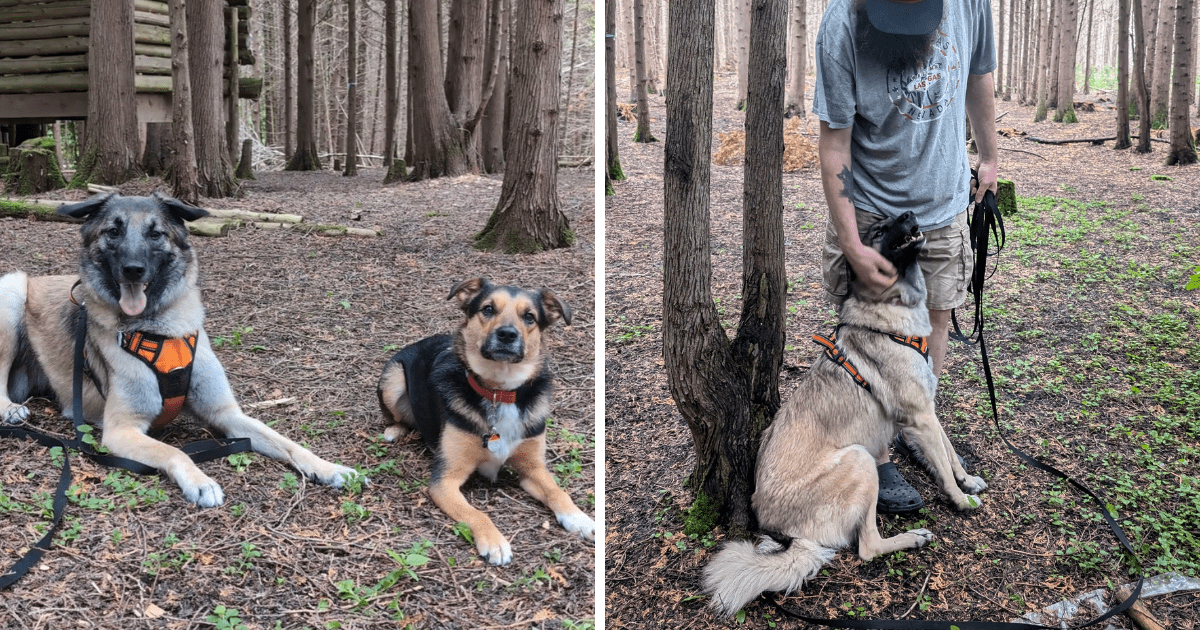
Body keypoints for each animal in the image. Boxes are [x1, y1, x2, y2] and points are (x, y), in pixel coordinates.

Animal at [1, 193, 364, 506]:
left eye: (155, 233)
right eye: (113, 231)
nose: (133, 269)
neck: (162, 330)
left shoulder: (226, 414)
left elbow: (286, 442)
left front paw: (329, 467)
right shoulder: (122, 431)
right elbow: (175, 451)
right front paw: (200, 481)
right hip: (13, 291)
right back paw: (9, 409)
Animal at [379, 278, 595, 564]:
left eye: (529, 316)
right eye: (488, 309)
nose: (507, 334)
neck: (498, 392)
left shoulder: (533, 468)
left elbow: (557, 492)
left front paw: (581, 519)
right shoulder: (445, 480)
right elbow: (476, 513)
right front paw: (494, 542)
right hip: (393, 379)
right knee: (396, 414)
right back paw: (394, 430)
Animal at [700, 211, 984, 614]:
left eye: (893, 219)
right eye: (879, 230)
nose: (910, 214)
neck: (890, 312)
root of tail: (789, 534)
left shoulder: (927, 407)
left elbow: (947, 452)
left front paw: (967, 480)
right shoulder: (919, 415)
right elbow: (942, 466)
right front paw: (960, 500)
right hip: (860, 459)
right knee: (867, 547)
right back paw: (912, 538)